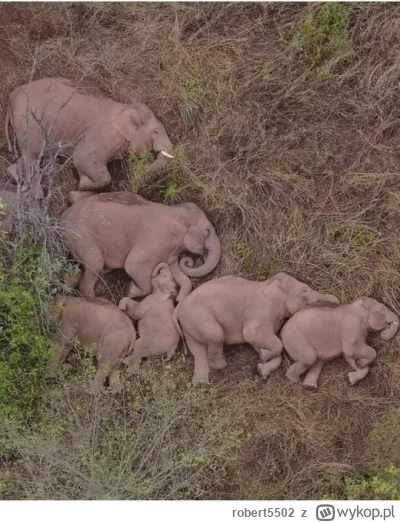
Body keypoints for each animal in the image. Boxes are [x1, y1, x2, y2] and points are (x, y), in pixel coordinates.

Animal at [5, 77, 173, 197]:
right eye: (156, 132)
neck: (125, 107)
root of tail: (12, 95)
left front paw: (83, 182)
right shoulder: (101, 136)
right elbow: (81, 159)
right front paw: (82, 185)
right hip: (28, 120)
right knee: (33, 155)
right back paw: (37, 195)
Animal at [61, 190, 222, 300]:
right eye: (207, 231)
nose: (190, 261)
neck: (173, 210)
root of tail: (63, 218)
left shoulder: (170, 250)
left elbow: (179, 274)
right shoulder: (157, 238)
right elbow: (133, 264)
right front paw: (128, 289)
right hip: (80, 235)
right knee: (95, 263)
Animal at [173, 272, 340, 382]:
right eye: (305, 289)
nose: (336, 300)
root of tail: (178, 308)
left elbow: (260, 343)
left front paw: (261, 365)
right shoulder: (261, 311)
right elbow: (255, 336)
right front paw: (263, 356)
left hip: (190, 326)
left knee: (198, 350)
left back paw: (200, 382)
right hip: (200, 317)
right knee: (216, 336)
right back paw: (221, 364)